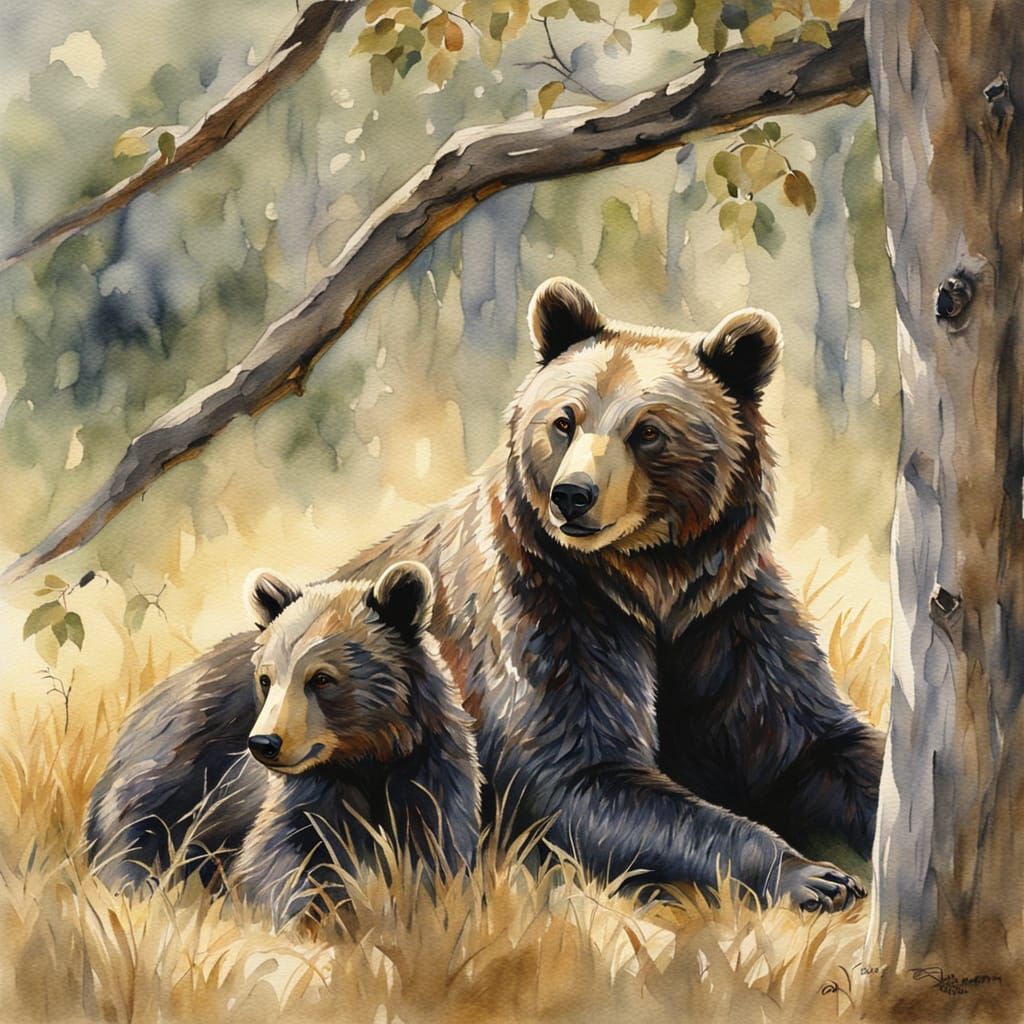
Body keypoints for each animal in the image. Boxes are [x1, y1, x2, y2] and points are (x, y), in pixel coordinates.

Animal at [86, 561, 480, 909]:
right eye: (266, 678)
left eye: (321, 678)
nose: (264, 744)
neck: (367, 756)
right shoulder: (306, 790)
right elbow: (280, 853)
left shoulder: (427, 768)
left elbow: (437, 845)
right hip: (174, 767)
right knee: (134, 833)